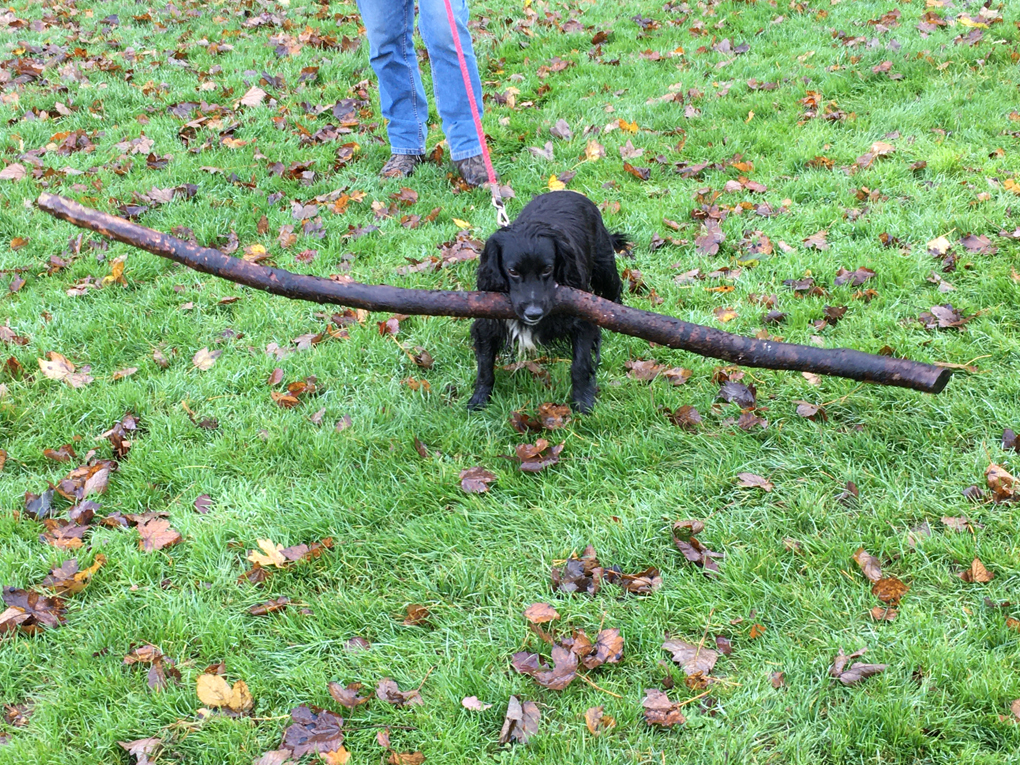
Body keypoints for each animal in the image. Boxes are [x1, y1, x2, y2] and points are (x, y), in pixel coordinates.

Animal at [467, 191, 624, 416]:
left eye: (548, 269)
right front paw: (479, 399)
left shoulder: (582, 322)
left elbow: (580, 365)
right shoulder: (487, 323)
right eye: (512, 271)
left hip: (605, 268)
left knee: (614, 292)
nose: (534, 313)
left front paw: (582, 402)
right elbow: (485, 367)